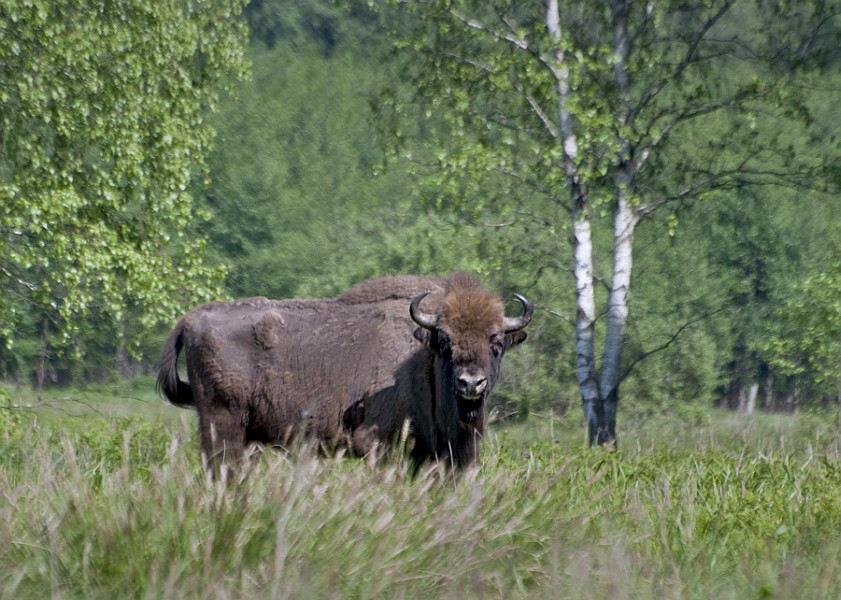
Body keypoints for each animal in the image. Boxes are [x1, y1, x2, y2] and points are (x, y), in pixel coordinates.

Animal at [158, 274, 532, 474]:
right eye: (444, 342)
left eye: (496, 343)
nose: (471, 383)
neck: (419, 352)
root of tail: (191, 319)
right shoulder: (379, 444)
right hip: (223, 424)